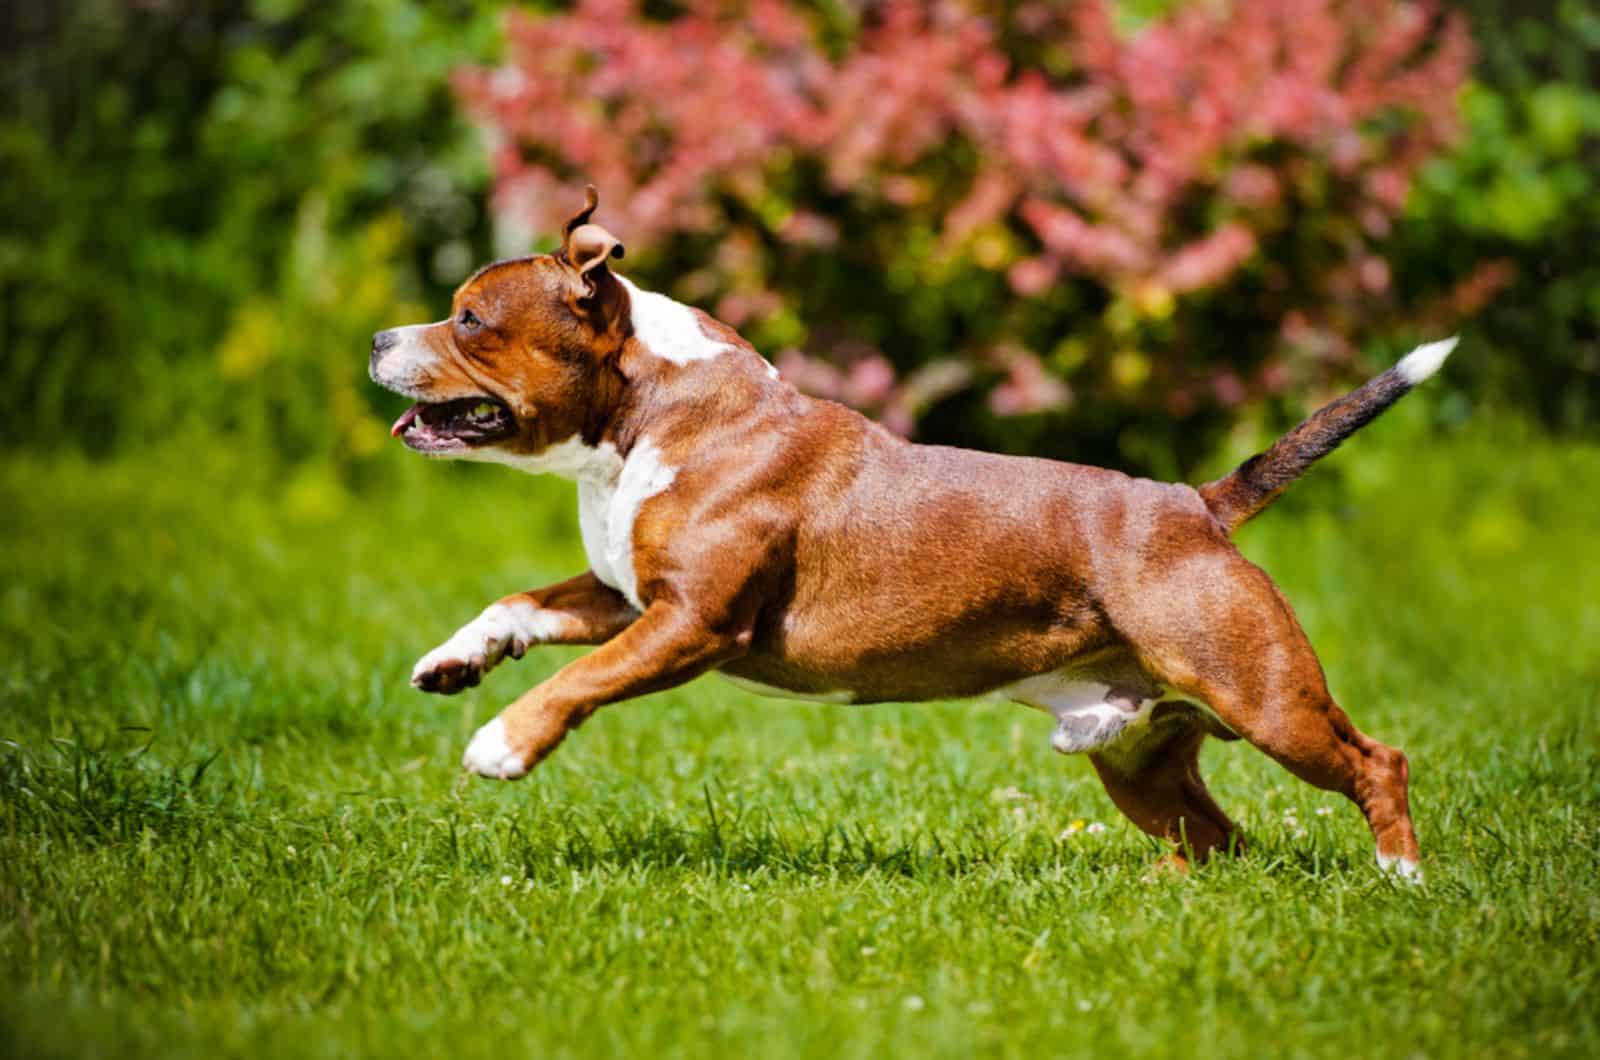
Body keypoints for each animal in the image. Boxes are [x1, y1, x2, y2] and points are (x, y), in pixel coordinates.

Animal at [371, 184, 1452, 877]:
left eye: (469, 320)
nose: (379, 338)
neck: (649, 411)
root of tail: (1194, 502)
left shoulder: (690, 621)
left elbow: (582, 678)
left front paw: (502, 742)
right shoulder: (626, 596)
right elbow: (520, 603)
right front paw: (454, 661)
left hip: (1261, 693)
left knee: (1376, 762)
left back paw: (1401, 878)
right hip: (1139, 754)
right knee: (1217, 840)